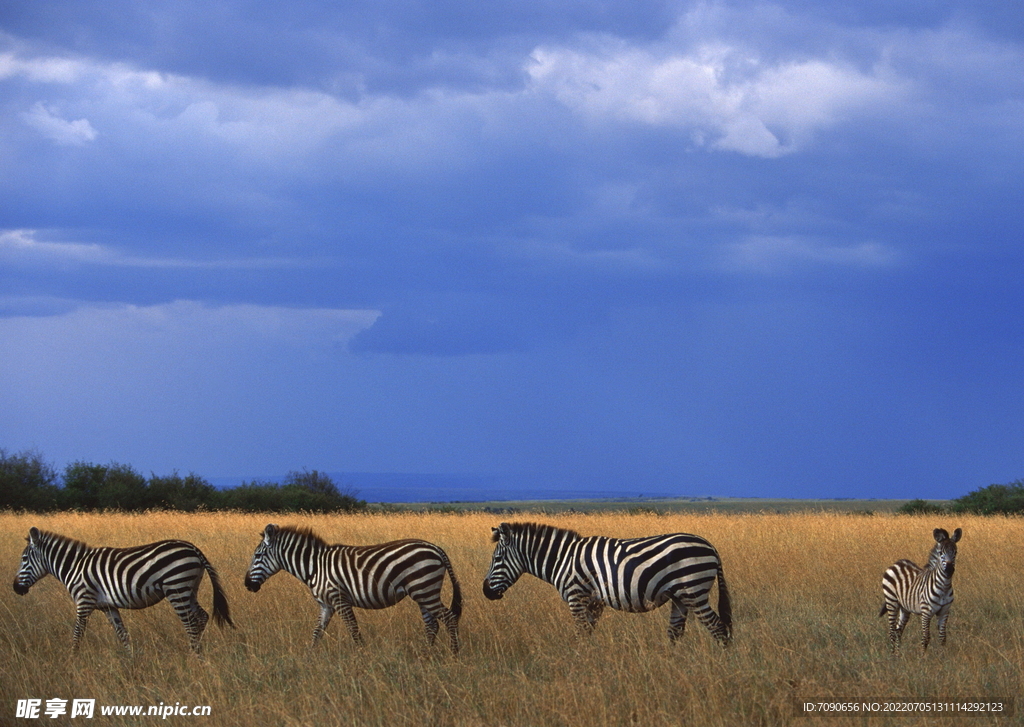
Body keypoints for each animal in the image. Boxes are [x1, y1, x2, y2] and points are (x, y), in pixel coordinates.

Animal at [12, 528, 234, 659]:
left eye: (24, 559)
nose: (15, 588)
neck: (74, 566)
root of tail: (193, 548)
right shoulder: (108, 606)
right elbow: (122, 634)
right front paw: (131, 660)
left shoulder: (84, 601)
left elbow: (77, 634)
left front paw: (72, 659)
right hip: (190, 589)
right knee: (202, 617)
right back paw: (200, 653)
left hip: (176, 587)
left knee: (190, 623)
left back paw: (193, 655)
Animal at [243, 524, 460, 655]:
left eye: (258, 555)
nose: (247, 585)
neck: (314, 567)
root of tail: (435, 547)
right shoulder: (326, 605)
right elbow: (317, 632)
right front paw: (309, 656)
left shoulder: (339, 599)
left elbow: (353, 629)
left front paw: (362, 655)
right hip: (422, 593)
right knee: (432, 625)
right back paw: (426, 655)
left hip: (424, 589)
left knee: (449, 619)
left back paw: (454, 653)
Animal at [479, 524, 729, 643]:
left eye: (497, 559)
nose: (485, 591)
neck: (563, 558)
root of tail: (711, 546)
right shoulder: (594, 602)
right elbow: (588, 633)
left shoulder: (576, 597)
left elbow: (580, 634)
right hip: (680, 597)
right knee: (675, 632)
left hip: (694, 591)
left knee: (718, 627)